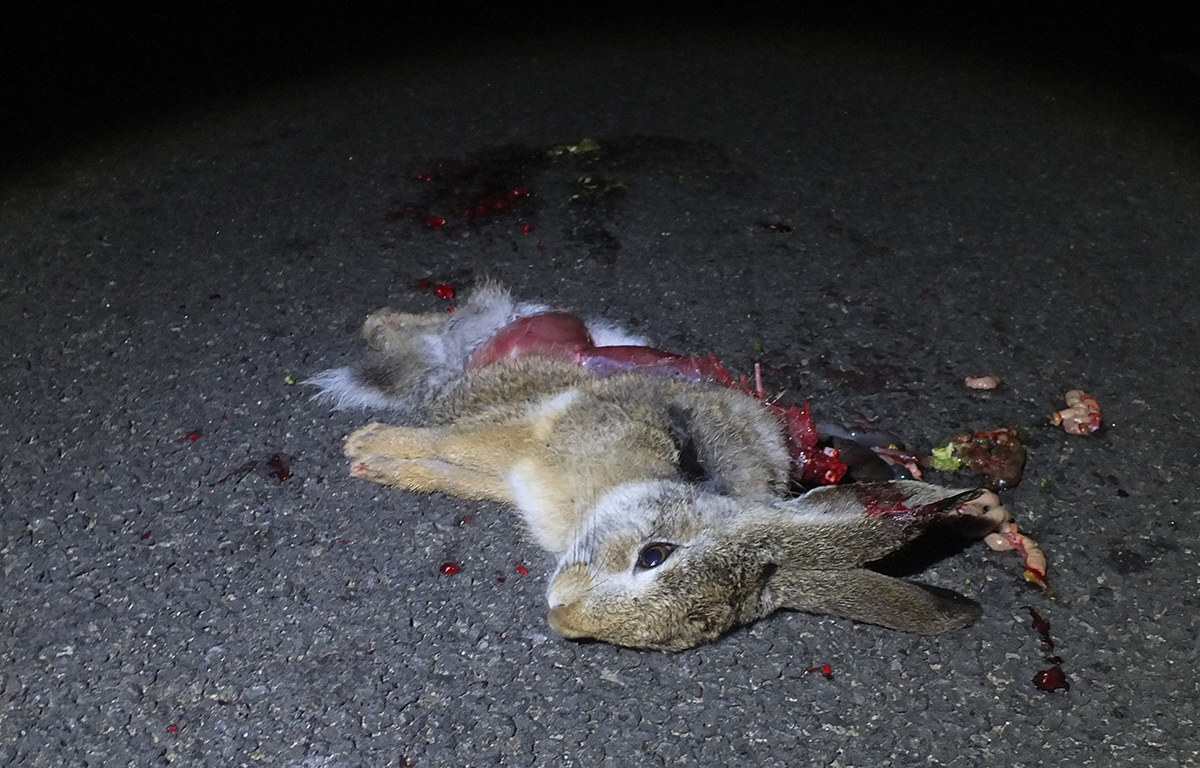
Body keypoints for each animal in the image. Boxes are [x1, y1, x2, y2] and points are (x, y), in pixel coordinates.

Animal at [308, 282, 1003, 651]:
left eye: (676, 636)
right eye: (653, 555)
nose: (562, 618)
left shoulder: (515, 471)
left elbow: (454, 466)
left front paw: (376, 462)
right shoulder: (540, 432)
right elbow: (457, 448)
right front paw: (367, 449)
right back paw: (377, 341)